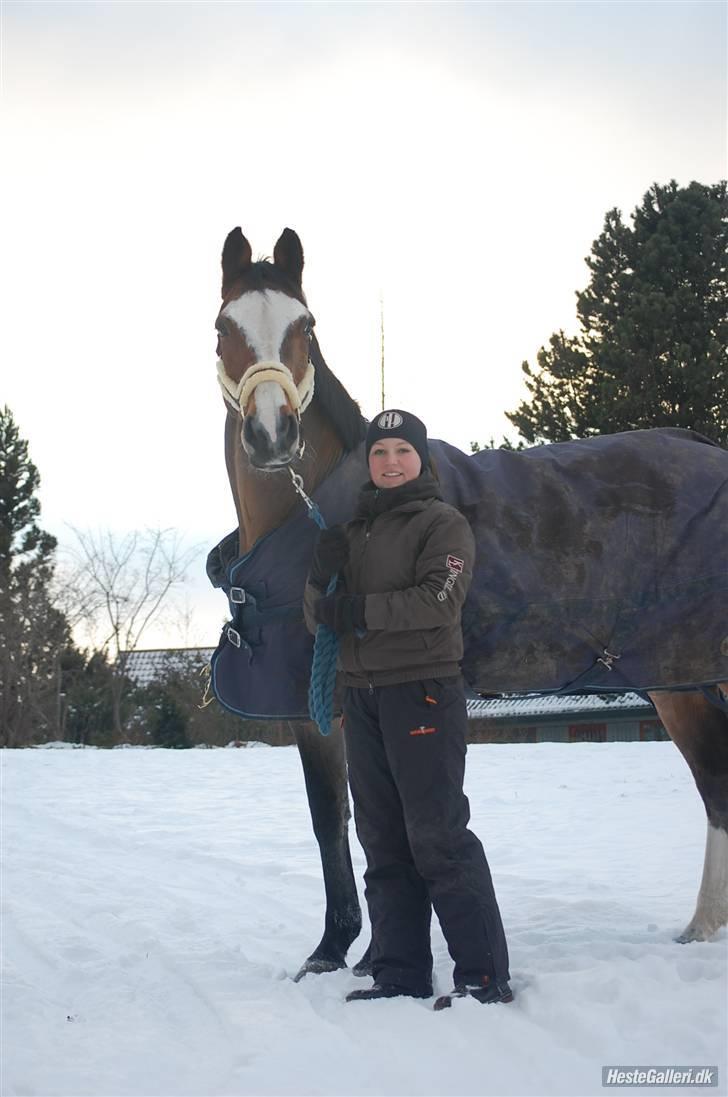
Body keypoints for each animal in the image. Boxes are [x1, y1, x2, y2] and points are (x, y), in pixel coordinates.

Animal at [211, 224, 728, 978]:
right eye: (225, 327)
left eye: (306, 326)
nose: (273, 435)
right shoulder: (313, 708)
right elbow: (332, 816)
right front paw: (337, 951)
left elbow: (366, 816)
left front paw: (363, 950)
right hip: (678, 673)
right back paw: (702, 928)